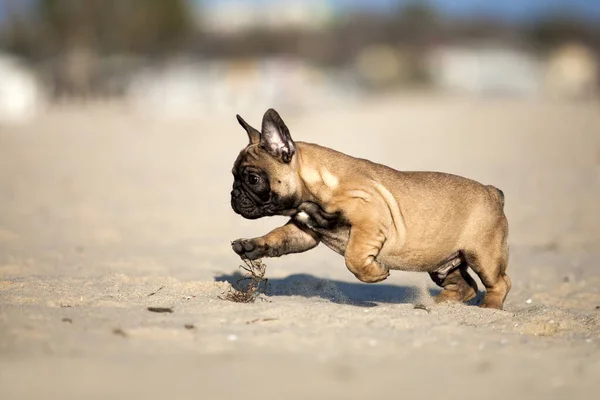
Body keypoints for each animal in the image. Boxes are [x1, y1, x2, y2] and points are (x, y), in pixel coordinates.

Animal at [230, 108, 510, 310]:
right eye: (233, 175)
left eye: (252, 179)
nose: (233, 195)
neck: (313, 191)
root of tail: (493, 192)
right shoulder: (304, 231)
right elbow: (276, 237)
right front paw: (250, 245)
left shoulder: (369, 223)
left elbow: (353, 258)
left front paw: (375, 273)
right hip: (443, 263)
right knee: (465, 286)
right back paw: (436, 304)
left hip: (482, 255)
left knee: (499, 283)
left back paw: (489, 307)